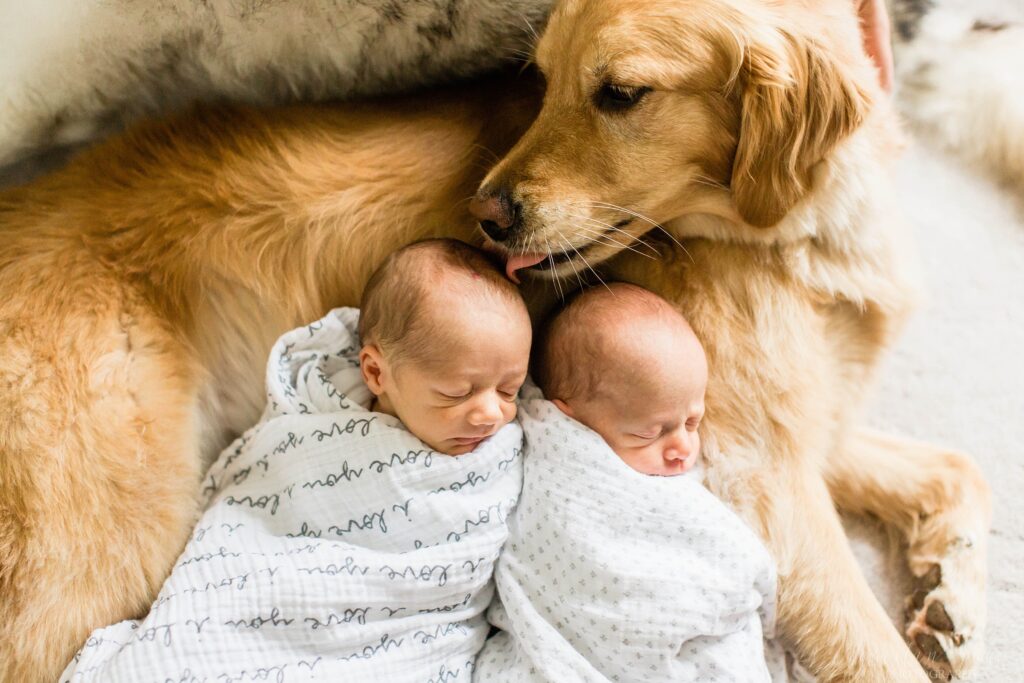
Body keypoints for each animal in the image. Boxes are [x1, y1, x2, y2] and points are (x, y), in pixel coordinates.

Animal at [0, 1, 991, 683]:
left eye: (621, 94)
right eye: (542, 77)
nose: (486, 214)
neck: (802, 229)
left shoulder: (796, 429)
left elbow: (957, 468)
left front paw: (952, 595)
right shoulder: (754, 471)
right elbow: (873, 648)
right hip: (105, 550)